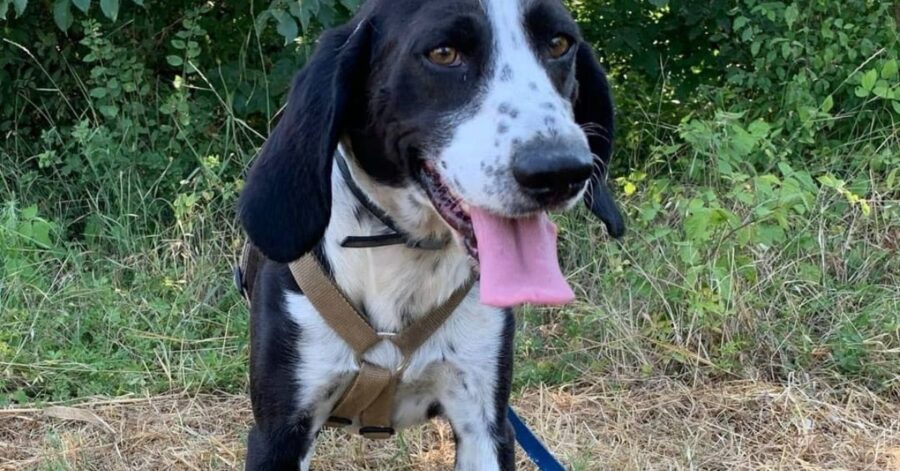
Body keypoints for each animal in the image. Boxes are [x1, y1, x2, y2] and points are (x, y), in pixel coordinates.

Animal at [236, 0, 624, 468]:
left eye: (559, 44)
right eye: (443, 53)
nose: (560, 171)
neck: (401, 249)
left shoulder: (487, 426)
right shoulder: (277, 435)